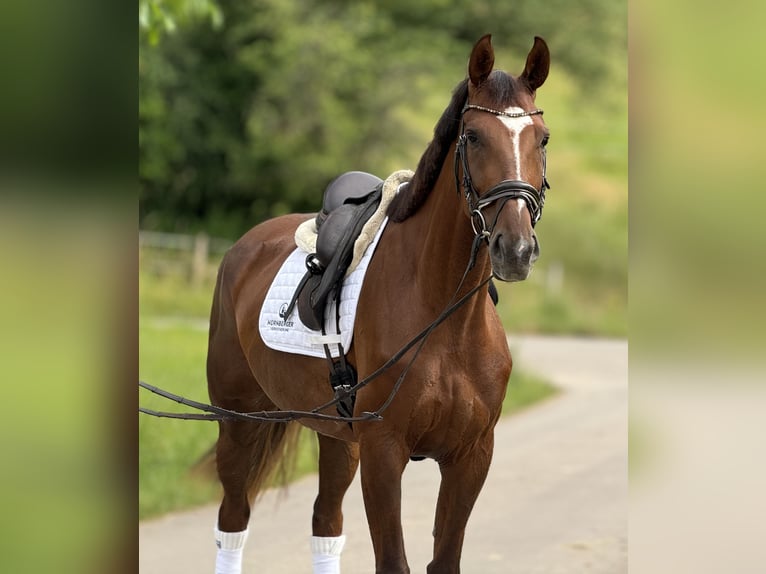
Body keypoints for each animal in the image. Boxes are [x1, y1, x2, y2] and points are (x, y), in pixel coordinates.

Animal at [207, 33, 548, 572]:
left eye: (543, 139)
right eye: (473, 137)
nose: (514, 250)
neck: (444, 321)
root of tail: (244, 246)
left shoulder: (471, 457)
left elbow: (444, 559)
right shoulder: (384, 453)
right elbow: (394, 561)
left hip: (334, 437)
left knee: (325, 523)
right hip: (238, 424)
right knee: (233, 520)